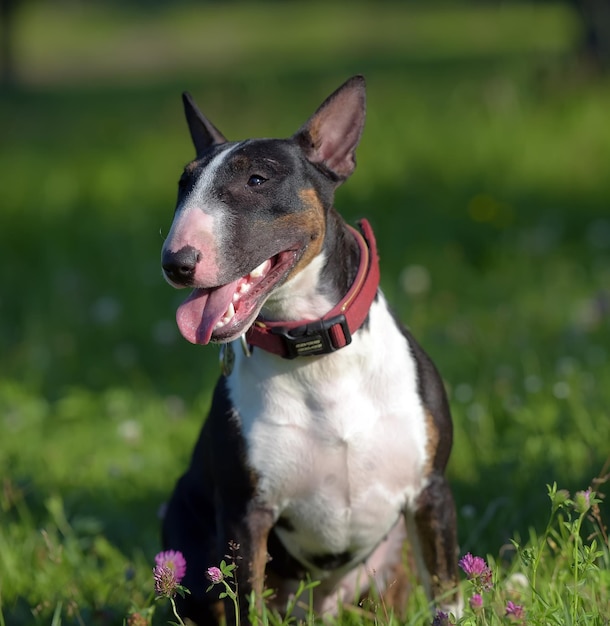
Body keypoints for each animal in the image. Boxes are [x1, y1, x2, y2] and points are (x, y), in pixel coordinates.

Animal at [159, 75, 458, 620]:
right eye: (183, 185)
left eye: (257, 179)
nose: (176, 263)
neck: (317, 356)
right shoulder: (245, 517)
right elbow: (245, 606)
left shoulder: (432, 494)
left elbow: (451, 593)